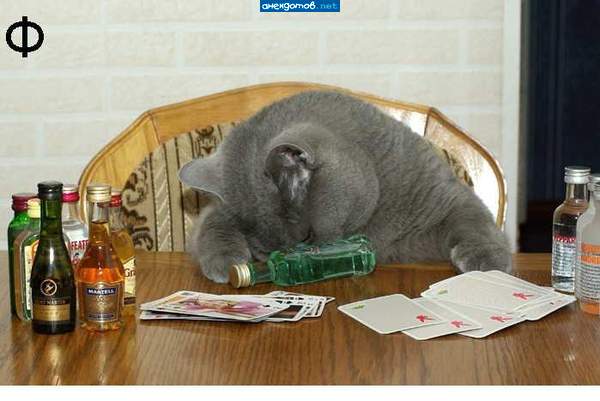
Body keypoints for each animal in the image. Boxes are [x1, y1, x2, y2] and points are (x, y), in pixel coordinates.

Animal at [179, 91, 511, 283]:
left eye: (306, 236)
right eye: (264, 253)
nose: (290, 260)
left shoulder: (445, 198)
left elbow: (473, 220)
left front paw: (487, 259)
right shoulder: (211, 213)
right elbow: (213, 224)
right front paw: (226, 262)